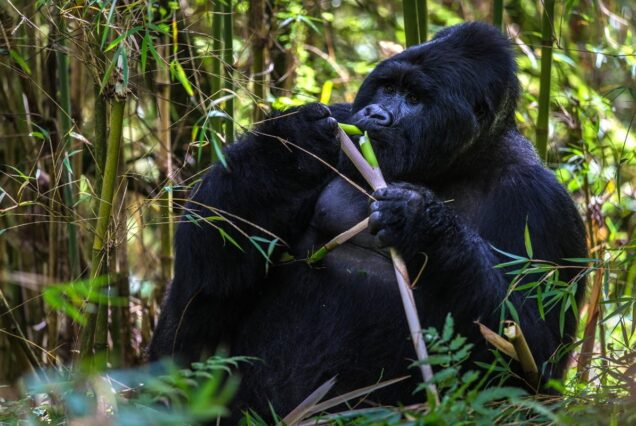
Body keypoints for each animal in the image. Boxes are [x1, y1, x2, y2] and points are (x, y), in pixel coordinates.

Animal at [149, 21, 588, 418]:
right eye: (387, 88)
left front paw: (421, 223)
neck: (458, 163)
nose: (376, 113)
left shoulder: (543, 205)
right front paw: (292, 141)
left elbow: (528, 355)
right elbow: (217, 253)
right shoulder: (344, 116)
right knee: (194, 304)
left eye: (413, 97)